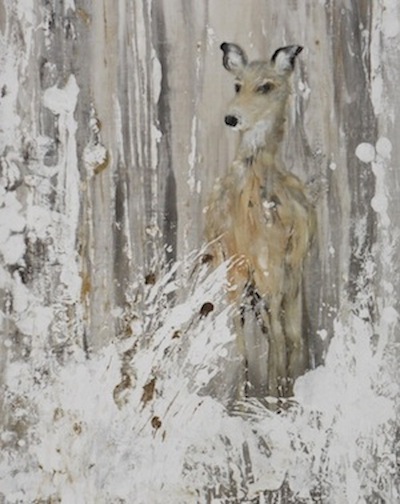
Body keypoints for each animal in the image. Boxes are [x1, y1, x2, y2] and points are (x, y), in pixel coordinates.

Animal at [204, 42, 316, 400]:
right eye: (237, 85)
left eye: (266, 86)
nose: (231, 117)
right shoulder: (237, 271)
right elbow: (244, 343)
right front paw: (247, 399)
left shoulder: (276, 270)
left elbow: (281, 339)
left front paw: (272, 399)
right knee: (270, 334)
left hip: (281, 279)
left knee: (285, 336)